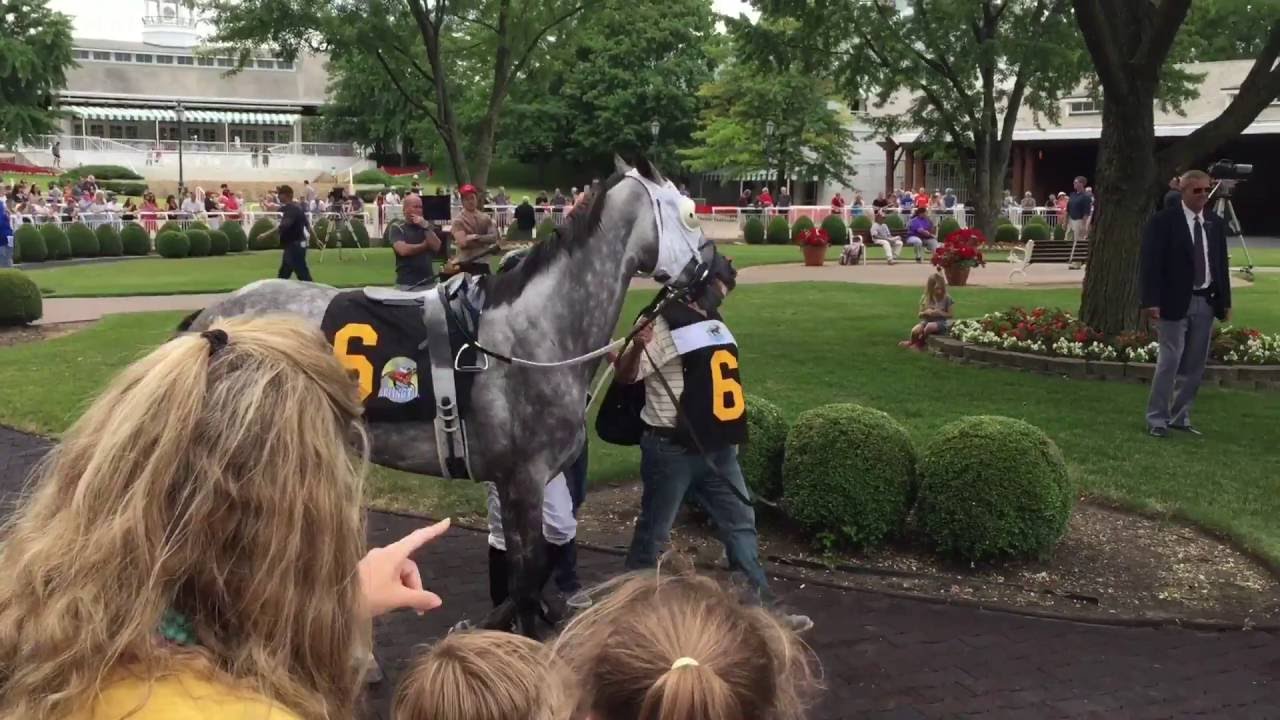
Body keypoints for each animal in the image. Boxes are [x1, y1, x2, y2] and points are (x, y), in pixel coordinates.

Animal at [181, 158, 711, 632]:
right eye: (688, 211)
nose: (719, 271)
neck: (536, 332)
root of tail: (209, 318)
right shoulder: (523, 478)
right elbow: (526, 576)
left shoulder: (529, 478)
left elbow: (534, 568)